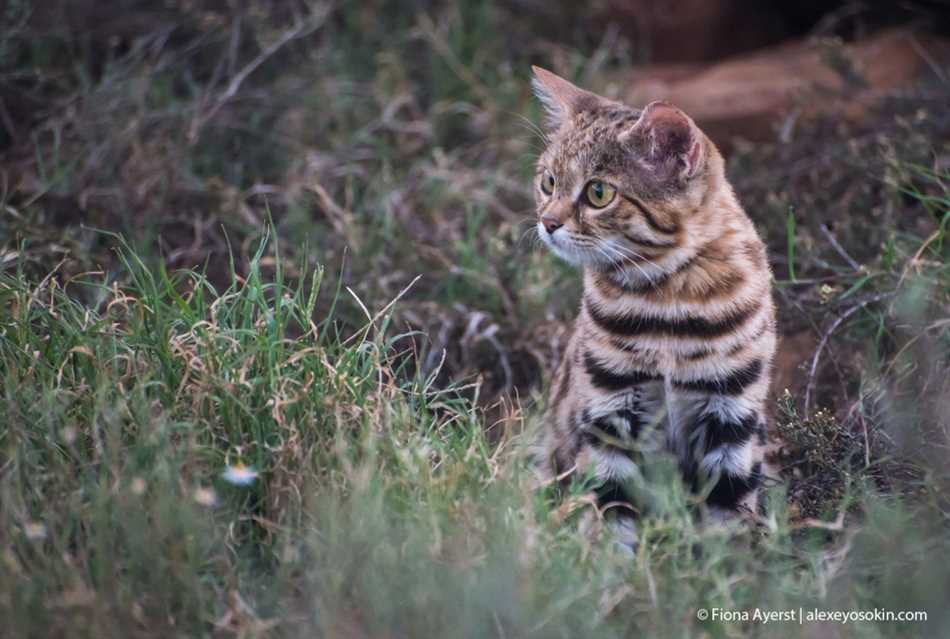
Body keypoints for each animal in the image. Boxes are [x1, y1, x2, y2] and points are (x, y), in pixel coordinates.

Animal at [532, 66, 776, 544]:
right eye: (548, 182)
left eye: (599, 193)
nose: (547, 223)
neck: (668, 301)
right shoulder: (609, 412)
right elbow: (609, 511)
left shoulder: (732, 416)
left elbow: (729, 519)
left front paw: (728, 563)